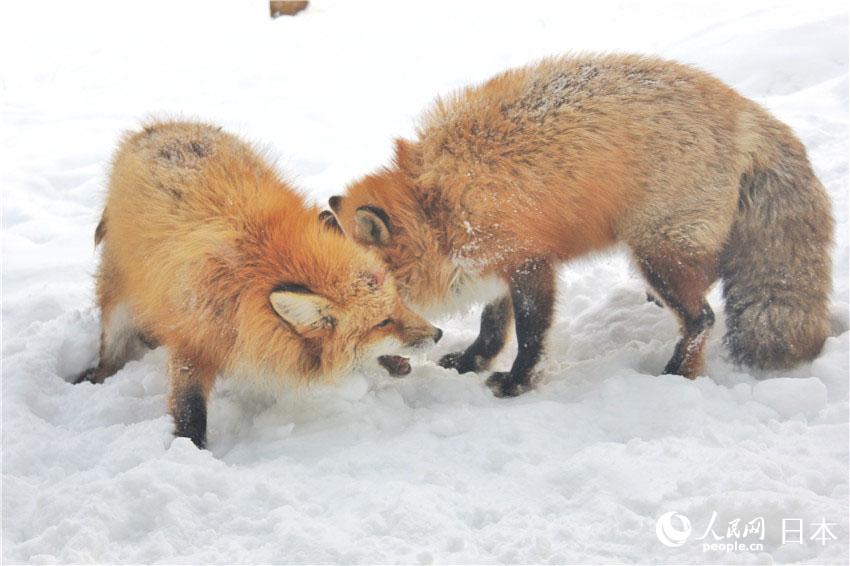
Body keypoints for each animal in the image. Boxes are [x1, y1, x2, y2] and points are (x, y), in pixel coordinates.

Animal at [76, 121, 440, 448]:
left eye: (399, 303)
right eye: (383, 323)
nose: (437, 334)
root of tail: (156, 127)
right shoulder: (193, 341)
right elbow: (189, 409)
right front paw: (190, 450)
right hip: (118, 306)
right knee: (111, 352)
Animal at [322, 55, 828, 398]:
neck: (437, 206)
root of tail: (744, 109)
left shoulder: (529, 262)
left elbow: (530, 335)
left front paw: (516, 382)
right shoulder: (496, 263)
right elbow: (492, 326)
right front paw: (472, 361)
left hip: (657, 253)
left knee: (703, 318)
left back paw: (677, 373)